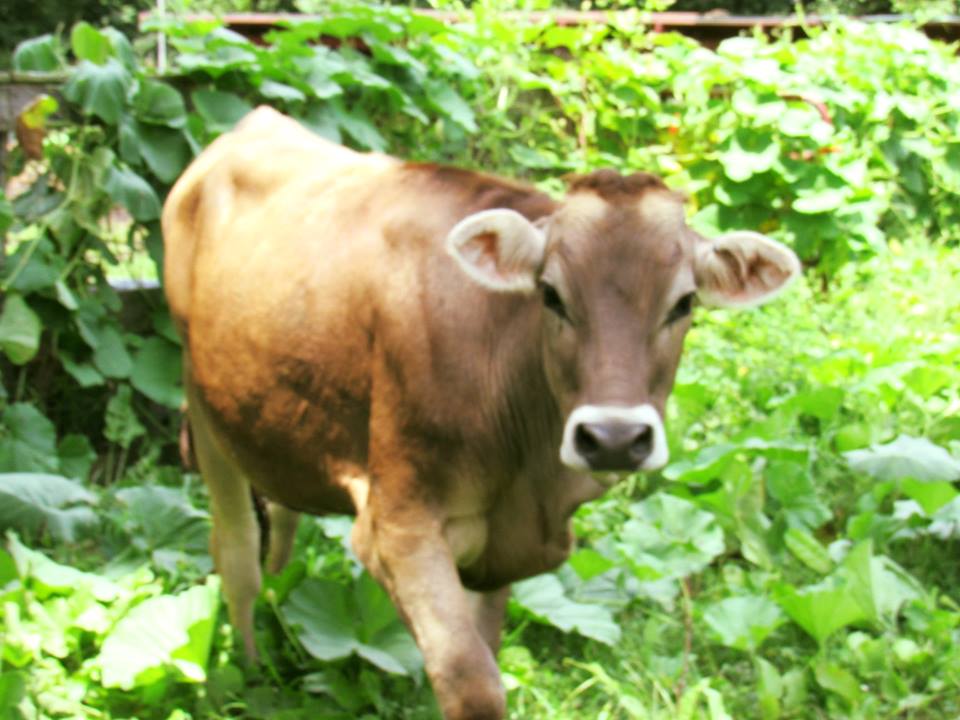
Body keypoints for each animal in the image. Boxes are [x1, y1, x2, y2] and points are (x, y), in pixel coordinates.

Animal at [162, 106, 799, 720]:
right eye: (551, 294)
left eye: (684, 302)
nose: (614, 437)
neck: (529, 473)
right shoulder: (398, 526)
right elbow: (473, 686)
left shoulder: (501, 548)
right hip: (200, 397)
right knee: (235, 550)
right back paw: (246, 675)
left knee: (281, 514)